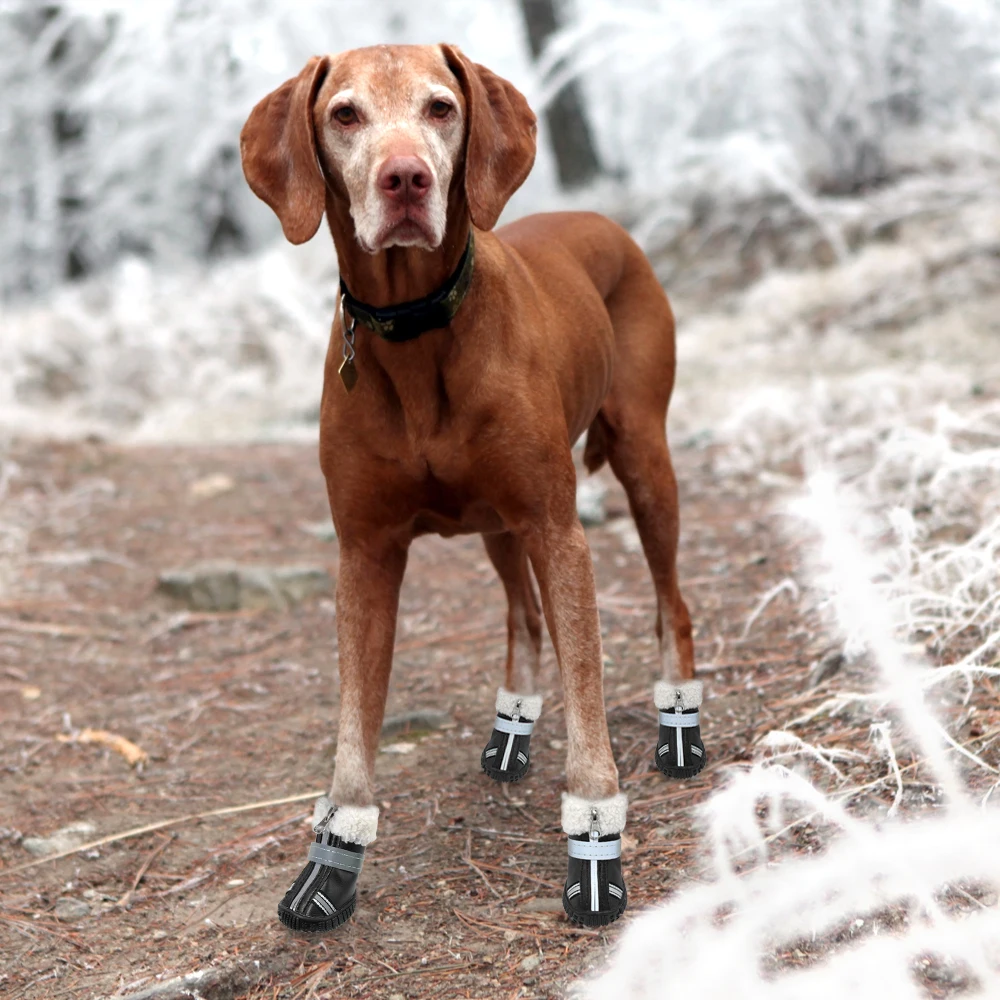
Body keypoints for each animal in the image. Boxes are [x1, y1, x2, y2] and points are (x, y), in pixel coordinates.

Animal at [240, 39, 704, 928]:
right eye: (343, 114)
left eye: (441, 107)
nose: (406, 179)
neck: (416, 330)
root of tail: (603, 220)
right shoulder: (364, 553)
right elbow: (355, 720)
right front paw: (335, 852)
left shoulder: (559, 532)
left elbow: (588, 693)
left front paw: (594, 842)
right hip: (497, 523)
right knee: (523, 617)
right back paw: (512, 728)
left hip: (643, 460)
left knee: (673, 602)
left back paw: (680, 723)